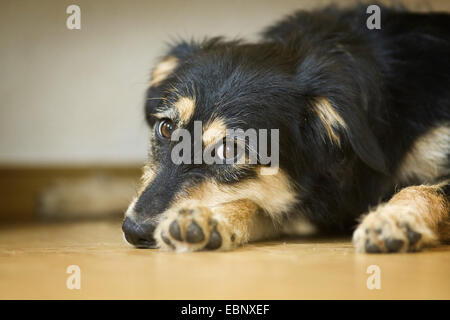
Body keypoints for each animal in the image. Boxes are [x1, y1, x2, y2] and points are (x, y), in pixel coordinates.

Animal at [121, 5, 448, 254]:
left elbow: (425, 189)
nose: (134, 231)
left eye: (229, 149)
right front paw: (208, 218)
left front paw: (394, 218)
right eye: (165, 128)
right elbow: (260, 205)